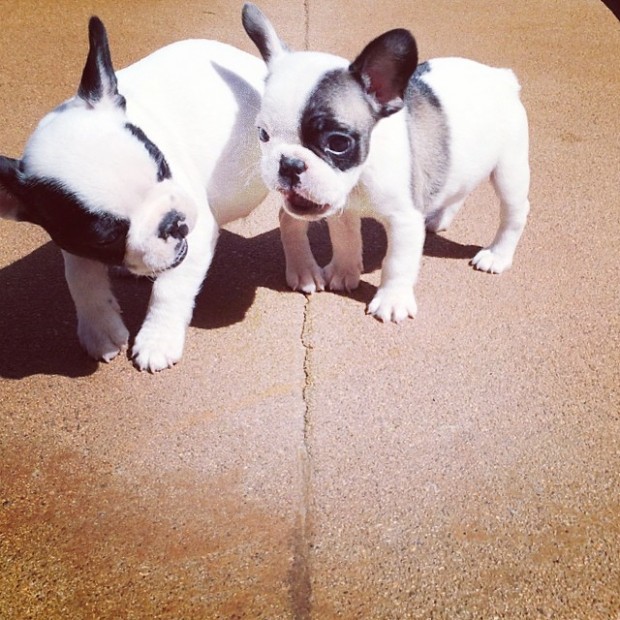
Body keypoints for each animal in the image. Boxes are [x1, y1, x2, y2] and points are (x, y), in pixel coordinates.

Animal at [0, 17, 266, 370]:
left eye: (163, 166)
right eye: (107, 238)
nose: (173, 222)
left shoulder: (195, 236)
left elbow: (169, 290)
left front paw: (157, 339)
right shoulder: (72, 240)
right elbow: (80, 279)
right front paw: (99, 328)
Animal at [241, 4, 528, 322]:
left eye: (338, 142)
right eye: (263, 134)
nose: (289, 163)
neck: (362, 174)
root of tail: (500, 77)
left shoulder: (404, 220)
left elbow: (397, 263)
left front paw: (392, 301)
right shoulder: (343, 210)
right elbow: (346, 240)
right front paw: (344, 273)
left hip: (509, 169)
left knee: (514, 212)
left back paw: (497, 255)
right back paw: (439, 219)